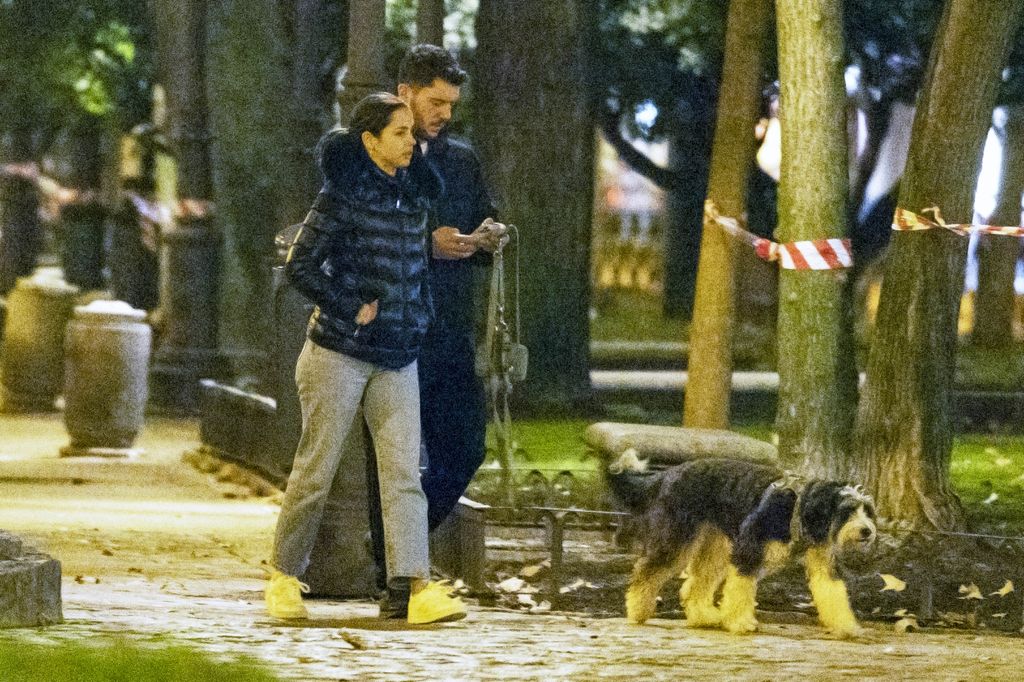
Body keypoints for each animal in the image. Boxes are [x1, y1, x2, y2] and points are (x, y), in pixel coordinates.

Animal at [602, 448, 876, 634]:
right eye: (847, 511)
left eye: (867, 510)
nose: (867, 531)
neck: (799, 508)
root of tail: (667, 474)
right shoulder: (748, 552)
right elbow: (740, 590)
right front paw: (740, 622)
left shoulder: (823, 563)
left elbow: (833, 591)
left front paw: (846, 626)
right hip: (676, 542)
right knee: (646, 572)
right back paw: (638, 611)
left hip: (715, 548)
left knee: (696, 585)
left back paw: (703, 617)